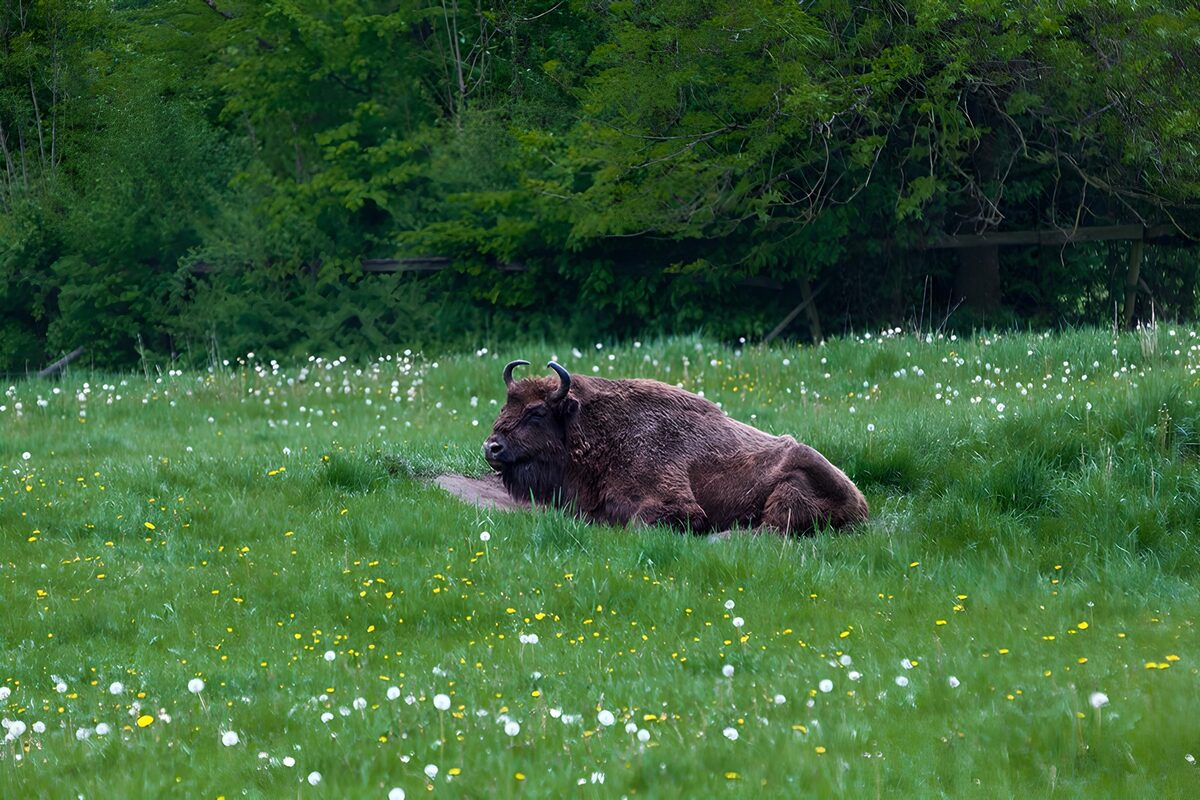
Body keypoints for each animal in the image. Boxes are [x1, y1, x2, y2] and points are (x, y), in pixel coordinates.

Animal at [483, 360, 868, 535]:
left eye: (536, 412)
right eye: (505, 405)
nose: (492, 448)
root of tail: (860, 501)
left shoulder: (673, 503)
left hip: (793, 482)